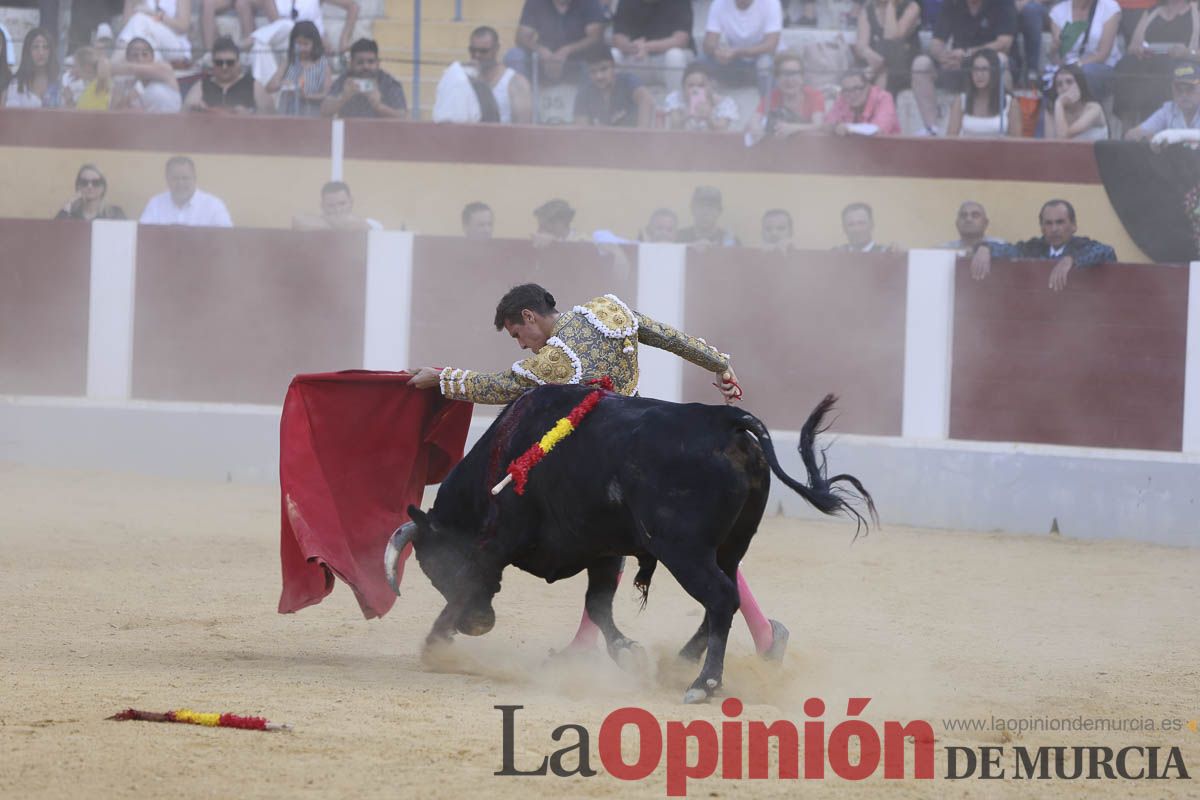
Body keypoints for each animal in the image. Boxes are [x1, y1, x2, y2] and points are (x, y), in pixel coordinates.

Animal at [388, 383, 878, 705]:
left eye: (432, 567)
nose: (477, 625)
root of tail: (725, 422)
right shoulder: (602, 550)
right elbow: (599, 605)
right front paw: (628, 655)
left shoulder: (502, 541)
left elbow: (474, 582)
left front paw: (434, 644)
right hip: (729, 546)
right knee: (725, 596)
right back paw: (684, 662)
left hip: (683, 550)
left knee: (721, 597)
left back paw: (703, 684)